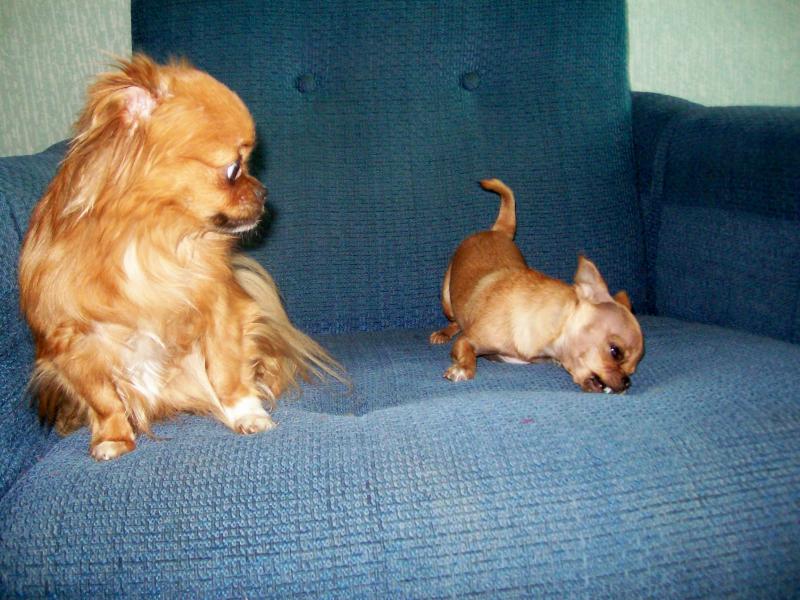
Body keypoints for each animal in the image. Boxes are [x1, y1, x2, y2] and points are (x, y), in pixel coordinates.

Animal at [18, 55, 342, 460]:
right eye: (234, 169)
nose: (264, 192)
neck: (153, 241)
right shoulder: (74, 346)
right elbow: (103, 399)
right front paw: (112, 438)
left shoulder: (222, 311)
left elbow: (226, 371)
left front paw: (247, 415)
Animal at [430, 179, 644, 393]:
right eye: (615, 352)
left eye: (632, 370)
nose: (627, 381)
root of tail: (497, 230)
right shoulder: (466, 341)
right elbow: (468, 354)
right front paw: (463, 368)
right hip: (447, 301)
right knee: (454, 319)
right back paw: (443, 333)